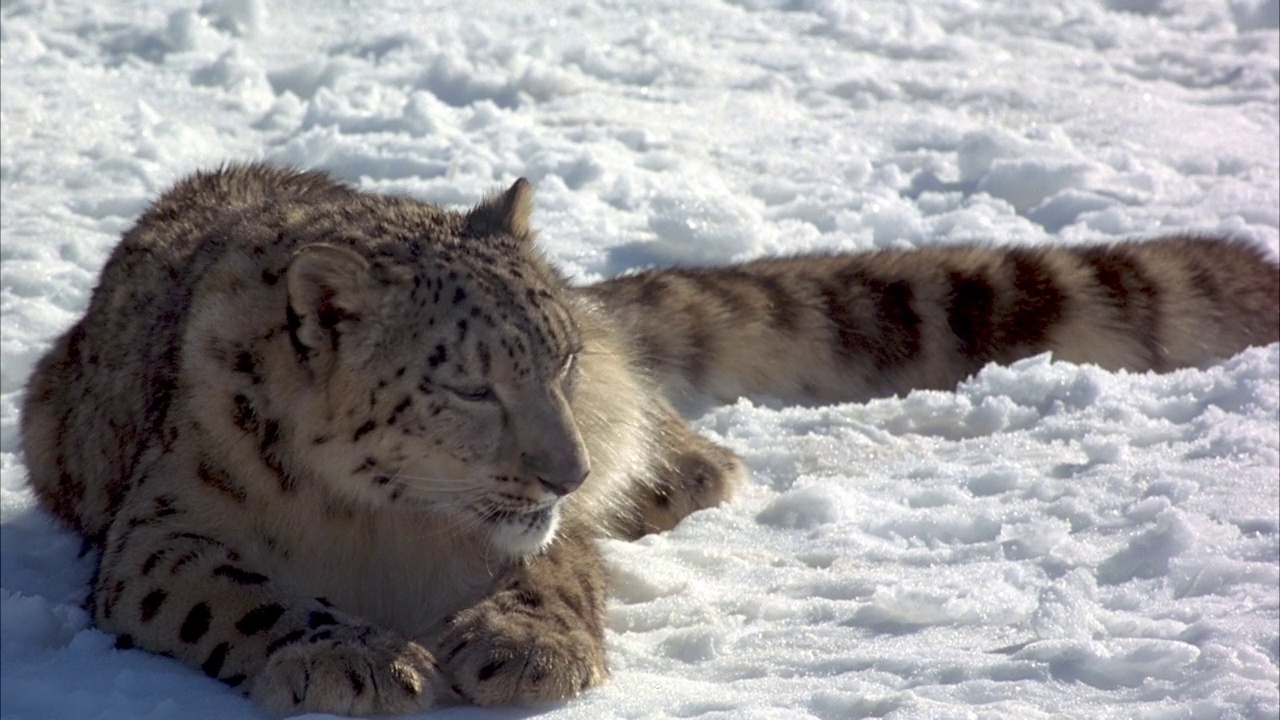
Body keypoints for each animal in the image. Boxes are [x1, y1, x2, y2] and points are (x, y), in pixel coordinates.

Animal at [20, 162, 1280, 712]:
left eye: (555, 362)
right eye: (466, 386)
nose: (564, 468)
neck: (378, 534)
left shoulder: (549, 535)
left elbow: (557, 575)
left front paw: (519, 647)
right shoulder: (163, 532)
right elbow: (234, 594)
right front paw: (351, 659)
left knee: (703, 459)